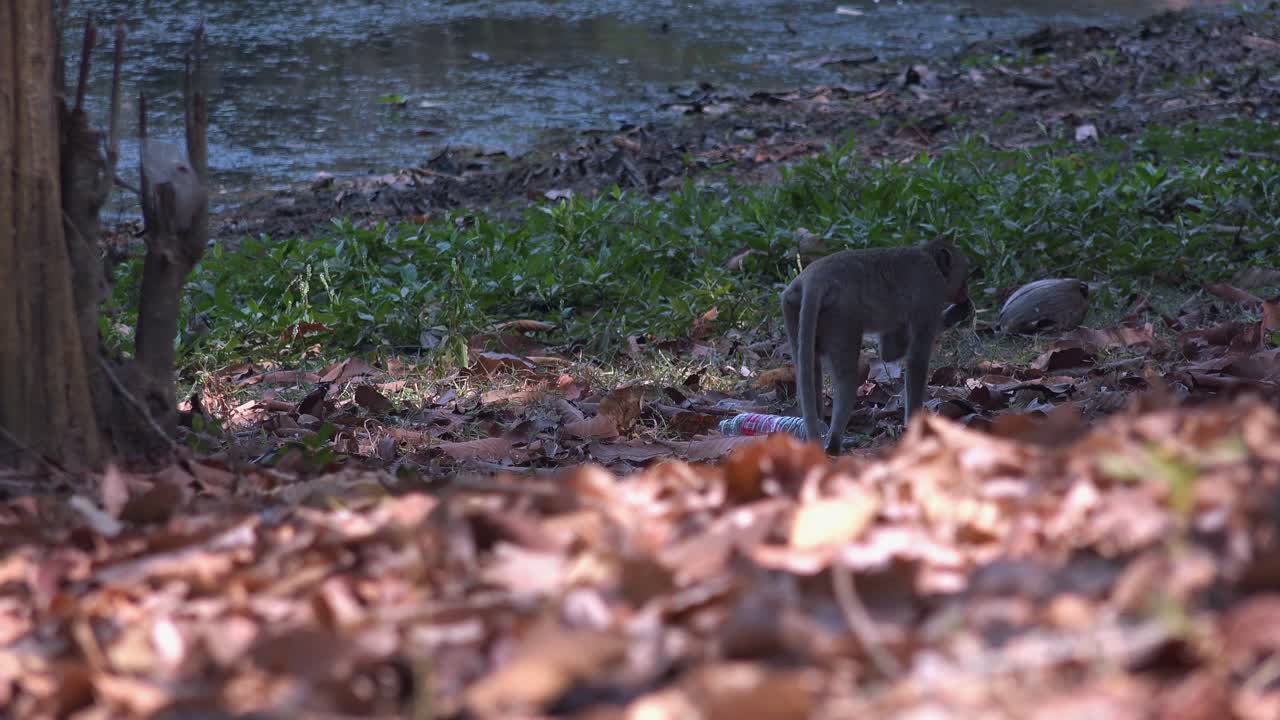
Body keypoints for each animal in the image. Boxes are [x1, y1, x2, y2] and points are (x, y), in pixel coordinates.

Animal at [781, 239, 971, 454]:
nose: (965, 293)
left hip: (792, 306)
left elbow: (889, 353)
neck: (929, 258)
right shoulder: (931, 292)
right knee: (847, 378)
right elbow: (917, 360)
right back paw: (834, 443)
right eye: (965, 276)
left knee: (809, 369)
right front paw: (916, 428)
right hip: (842, 315)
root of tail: (813, 280)